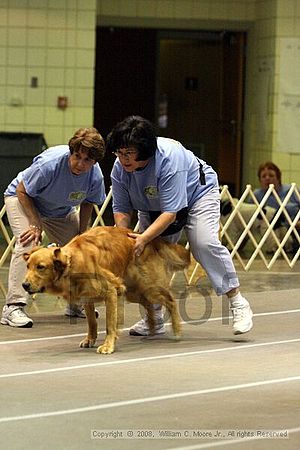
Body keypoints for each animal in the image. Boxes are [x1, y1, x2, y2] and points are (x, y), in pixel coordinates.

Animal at [22, 227, 190, 354]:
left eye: (41, 267)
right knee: (149, 305)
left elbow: (110, 324)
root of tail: (149, 240)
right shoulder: (87, 298)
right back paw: (152, 329)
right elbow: (92, 323)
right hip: (133, 292)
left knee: (171, 301)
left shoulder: (111, 292)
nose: (24, 285)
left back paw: (176, 330)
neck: (74, 263)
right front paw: (90, 339)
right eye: (28, 266)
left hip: (148, 287)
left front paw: (108, 345)